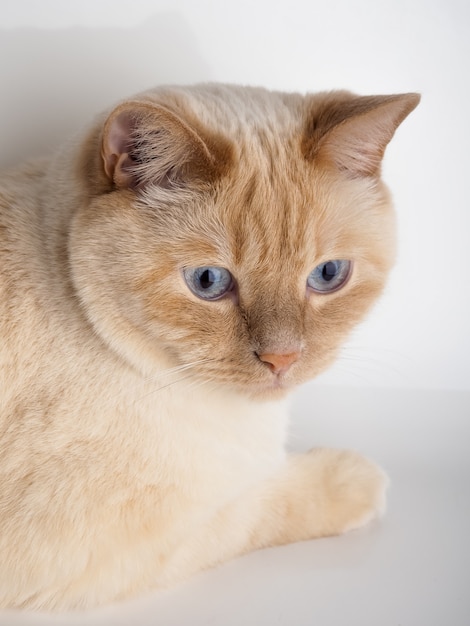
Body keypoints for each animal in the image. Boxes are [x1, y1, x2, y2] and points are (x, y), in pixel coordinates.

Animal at [0, 83, 418, 608]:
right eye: (208, 282)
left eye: (327, 275)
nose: (282, 359)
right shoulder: (104, 547)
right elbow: (256, 504)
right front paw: (354, 479)